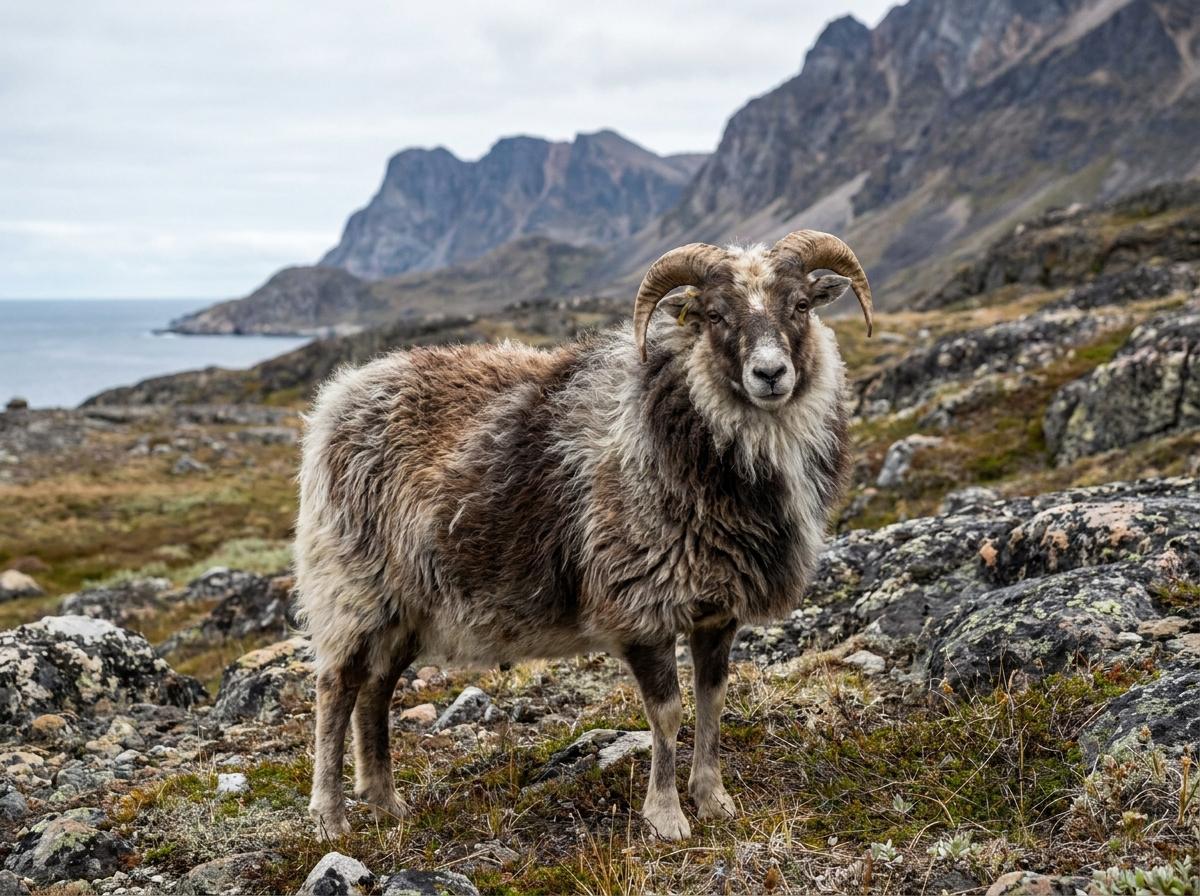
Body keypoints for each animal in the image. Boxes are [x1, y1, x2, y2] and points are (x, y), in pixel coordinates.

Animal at [294, 230, 873, 841]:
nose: (770, 374)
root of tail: (341, 391)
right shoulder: (642, 606)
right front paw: (667, 817)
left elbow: (712, 701)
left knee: (376, 689)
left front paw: (713, 799)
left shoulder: (718, 610)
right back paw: (331, 817)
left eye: (802, 305)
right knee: (336, 689)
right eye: (715, 315)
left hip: (405, 607)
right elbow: (667, 713)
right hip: (353, 589)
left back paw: (386, 803)